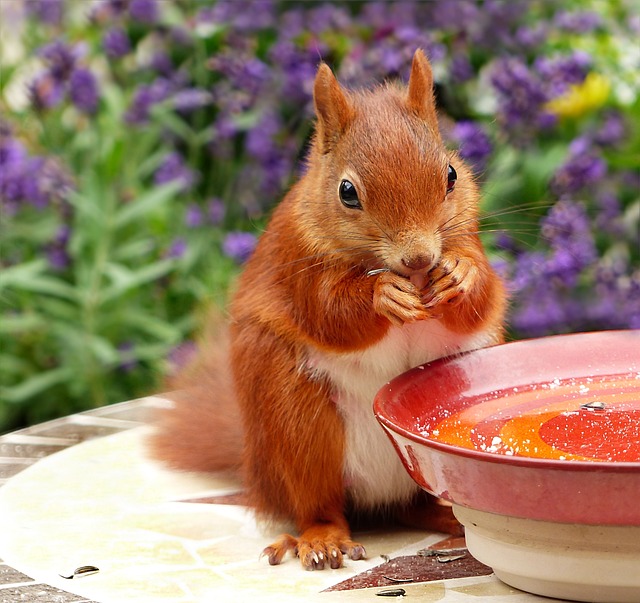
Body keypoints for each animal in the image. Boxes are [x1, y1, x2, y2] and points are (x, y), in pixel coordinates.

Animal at [150, 50, 504, 572]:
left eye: (452, 176)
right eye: (347, 192)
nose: (419, 259)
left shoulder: (469, 237)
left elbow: (481, 297)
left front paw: (458, 274)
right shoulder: (298, 262)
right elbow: (330, 312)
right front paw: (382, 295)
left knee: (417, 504)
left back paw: (450, 517)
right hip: (297, 422)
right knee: (316, 504)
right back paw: (322, 539)